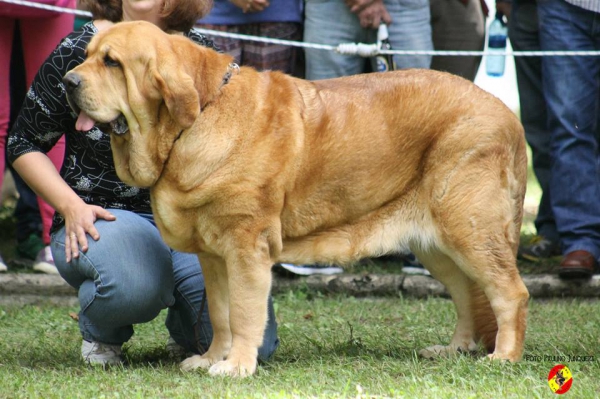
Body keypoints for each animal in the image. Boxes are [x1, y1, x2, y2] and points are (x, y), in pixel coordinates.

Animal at [62, 21, 528, 378]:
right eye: (85, 55)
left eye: (112, 62)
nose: (67, 81)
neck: (195, 118)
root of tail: (509, 115)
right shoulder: (214, 257)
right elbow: (220, 314)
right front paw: (212, 359)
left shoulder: (246, 248)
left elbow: (244, 314)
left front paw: (236, 367)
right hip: (436, 246)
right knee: (467, 294)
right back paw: (456, 349)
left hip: (469, 229)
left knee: (509, 292)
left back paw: (503, 357)